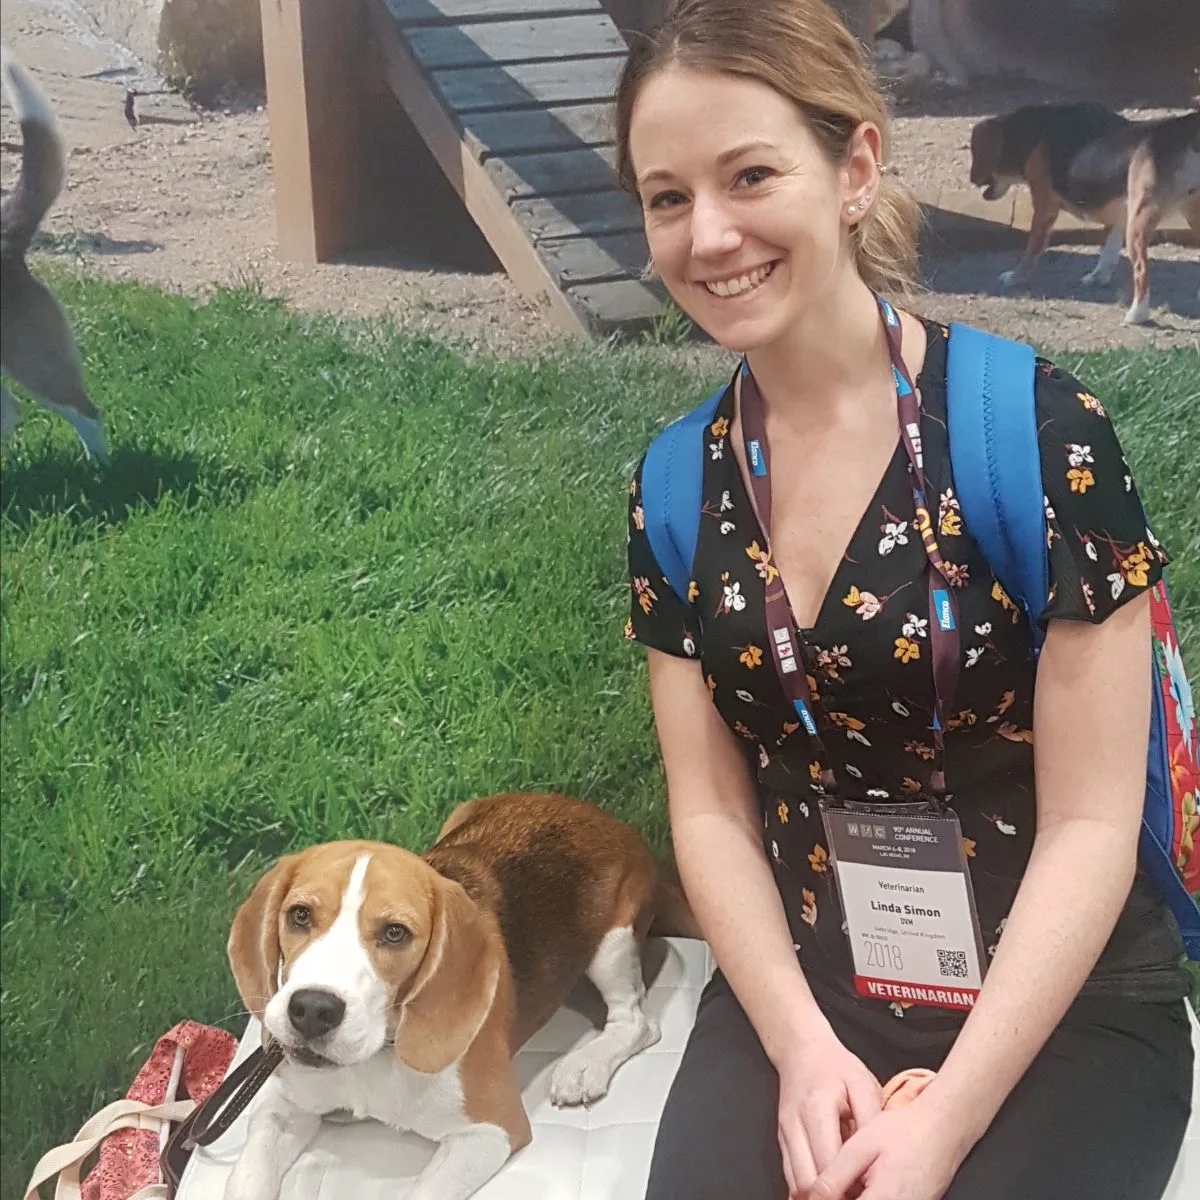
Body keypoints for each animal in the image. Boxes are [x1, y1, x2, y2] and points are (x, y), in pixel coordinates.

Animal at [224, 792, 700, 1200]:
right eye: (299, 915)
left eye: (395, 933)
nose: (311, 1010)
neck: (378, 1054)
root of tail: (602, 816)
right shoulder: (281, 1109)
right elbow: (246, 1177)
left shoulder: (490, 1130)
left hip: (611, 945)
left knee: (637, 1020)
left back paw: (585, 1067)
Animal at [969, 103, 1195, 326]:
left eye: (975, 151)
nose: (971, 179)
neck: (1034, 131)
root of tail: (1182, 130)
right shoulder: (1122, 214)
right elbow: (1109, 250)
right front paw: (1098, 277)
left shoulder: (1044, 208)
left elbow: (1032, 248)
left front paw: (1016, 277)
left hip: (1139, 224)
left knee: (1141, 270)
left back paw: (1136, 314)